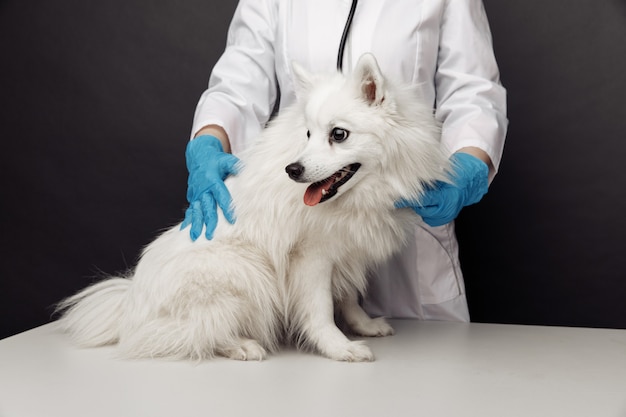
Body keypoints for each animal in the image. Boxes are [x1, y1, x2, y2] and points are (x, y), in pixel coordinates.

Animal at [58, 54, 448, 360]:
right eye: (308, 134)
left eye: (339, 134)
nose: (293, 170)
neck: (359, 194)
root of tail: (130, 306)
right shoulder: (311, 258)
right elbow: (320, 309)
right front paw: (339, 347)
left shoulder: (345, 249)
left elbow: (349, 297)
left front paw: (363, 326)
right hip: (245, 272)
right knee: (198, 332)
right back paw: (241, 346)